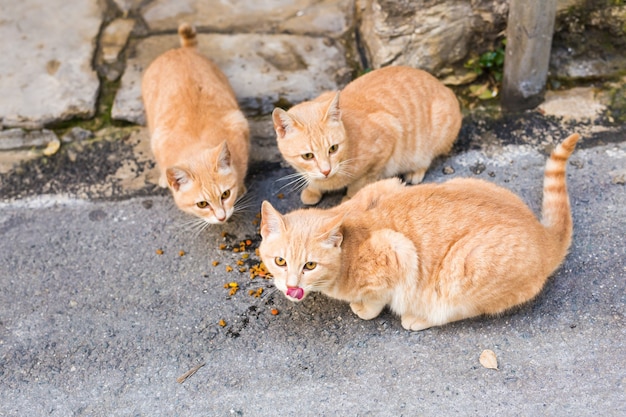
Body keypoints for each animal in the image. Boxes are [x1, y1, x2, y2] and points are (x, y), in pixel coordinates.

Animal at [142, 22, 249, 224]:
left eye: (225, 194)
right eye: (202, 204)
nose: (222, 217)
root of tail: (181, 50)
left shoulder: (239, 124)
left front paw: (240, 187)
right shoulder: (158, 139)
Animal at [258, 132, 580, 328]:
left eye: (310, 265)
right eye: (280, 261)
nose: (292, 287)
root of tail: (543, 236)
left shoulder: (397, 252)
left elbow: (377, 297)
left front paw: (364, 308)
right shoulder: (386, 185)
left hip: (462, 270)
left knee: (453, 309)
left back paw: (418, 317)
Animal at [270, 64, 460, 205]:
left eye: (333, 148)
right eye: (308, 156)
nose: (326, 170)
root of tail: (444, 86)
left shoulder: (388, 136)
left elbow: (361, 181)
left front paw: (350, 196)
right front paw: (312, 188)